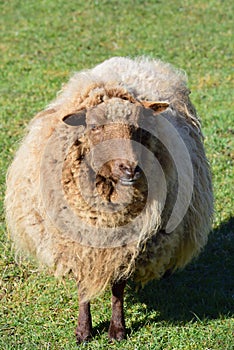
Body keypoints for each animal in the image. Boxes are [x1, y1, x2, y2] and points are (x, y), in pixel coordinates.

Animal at [5, 56, 214, 342]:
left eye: (139, 127)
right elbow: (83, 287)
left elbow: (118, 289)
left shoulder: (127, 246)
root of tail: (134, 61)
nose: (130, 169)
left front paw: (117, 329)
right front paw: (83, 330)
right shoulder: (79, 243)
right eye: (94, 127)